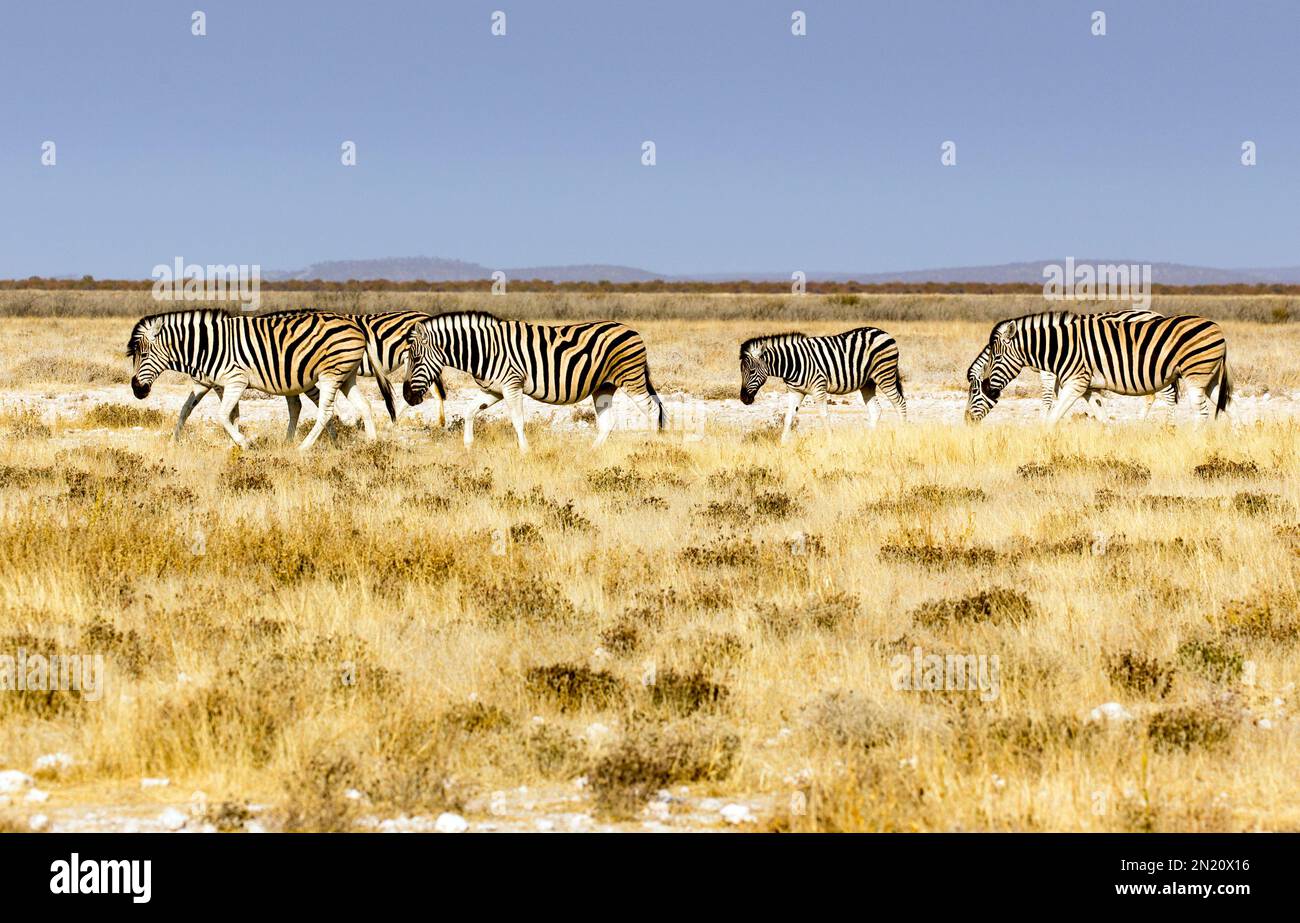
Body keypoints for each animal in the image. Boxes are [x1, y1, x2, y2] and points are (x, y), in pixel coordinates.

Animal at [127, 309, 375, 450]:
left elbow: (223, 415)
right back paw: (372, 445)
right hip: (345, 376)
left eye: (145, 355)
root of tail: (356, 327)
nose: (137, 390)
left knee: (325, 410)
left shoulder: (235, 380)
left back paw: (303, 447)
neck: (207, 347)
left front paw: (244, 443)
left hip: (329, 374)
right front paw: (174, 442)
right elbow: (189, 409)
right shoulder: (211, 383)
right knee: (364, 405)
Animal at [400, 311, 665, 452]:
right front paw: (468, 446)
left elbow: (517, 419)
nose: (407, 397)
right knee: (608, 422)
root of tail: (632, 330)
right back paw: (591, 452)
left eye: (415, 358)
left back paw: (652, 445)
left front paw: (525, 451)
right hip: (604, 386)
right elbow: (469, 411)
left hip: (631, 378)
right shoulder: (493, 390)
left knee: (653, 410)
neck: (483, 350)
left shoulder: (512, 385)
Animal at [739, 327, 907, 442]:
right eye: (741, 371)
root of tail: (883, 332)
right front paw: (783, 444)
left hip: (885, 375)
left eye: (752, 371)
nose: (743, 399)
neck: (793, 363)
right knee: (876, 410)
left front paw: (830, 442)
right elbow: (789, 417)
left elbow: (824, 415)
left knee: (900, 403)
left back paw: (901, 435)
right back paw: (867, 439)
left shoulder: (818, 388)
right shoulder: (795, 392)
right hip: (868, 383)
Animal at [967, 311, 1231, 425]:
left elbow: (1051, 408)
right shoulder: (1087, 386)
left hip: (1190, 374)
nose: (967, 420)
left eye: (974, 391)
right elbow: (1101, 415)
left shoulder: (1071, 380)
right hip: (1209, 378)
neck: (1056, 345)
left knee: (1192, 407)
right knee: (1228, 405)